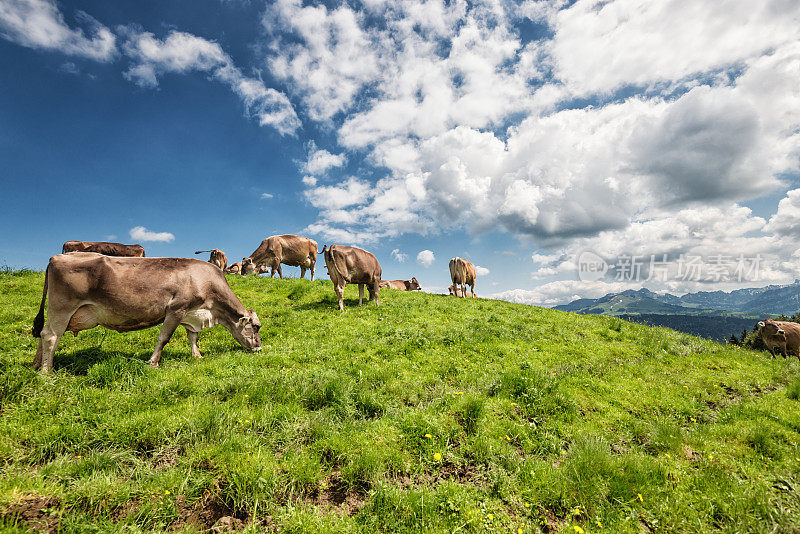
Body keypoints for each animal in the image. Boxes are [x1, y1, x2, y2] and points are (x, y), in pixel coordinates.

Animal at [30, 253, 262, 374]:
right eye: (256, 326)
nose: (259, 347)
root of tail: (57, 256)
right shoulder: (176, 309)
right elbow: (164, 337)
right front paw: (153, 362)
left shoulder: (191, 314)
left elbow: (193, 337)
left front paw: (197, 355)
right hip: (62, 308)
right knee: (51, 336)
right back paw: (46, 371)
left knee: (43, 333)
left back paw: (36, 364)